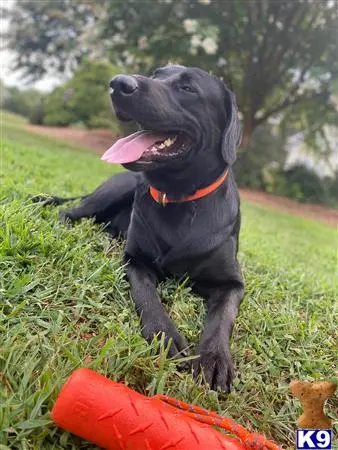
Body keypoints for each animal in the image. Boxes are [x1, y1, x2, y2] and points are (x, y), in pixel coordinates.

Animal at [36, 65, 243, 392]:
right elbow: (146, 295)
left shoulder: (233, 283)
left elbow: (222, 317)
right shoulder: (135, 261)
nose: (119, 84)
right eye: (156, 74)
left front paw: (215, 357)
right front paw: (164, 335)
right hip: (113, 190)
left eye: (188, 88)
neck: (179, 198)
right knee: (67, 212)